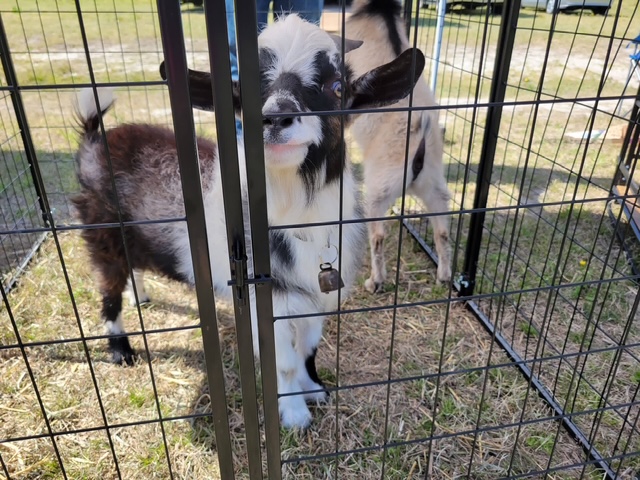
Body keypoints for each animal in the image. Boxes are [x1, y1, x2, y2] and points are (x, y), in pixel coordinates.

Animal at [73, 14, 426, 428]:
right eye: (242, 90)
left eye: (337, 87)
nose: (274, 117)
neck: (298, 219)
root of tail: (95, 141)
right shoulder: (267, 298)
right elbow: (284, 362)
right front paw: (294, 414)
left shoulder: (315, 296)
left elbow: (308, 349)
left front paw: (314, 389)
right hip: (103, 235)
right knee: (108, 291)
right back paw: (120, 350)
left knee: (134, 269)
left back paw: (140, 295)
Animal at [345, 0, 452, 293]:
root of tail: (420, 134)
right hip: (434, 185)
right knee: (442, 229)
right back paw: (444, 276)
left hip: (379, 188)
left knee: (378, 234)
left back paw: (375, 281)